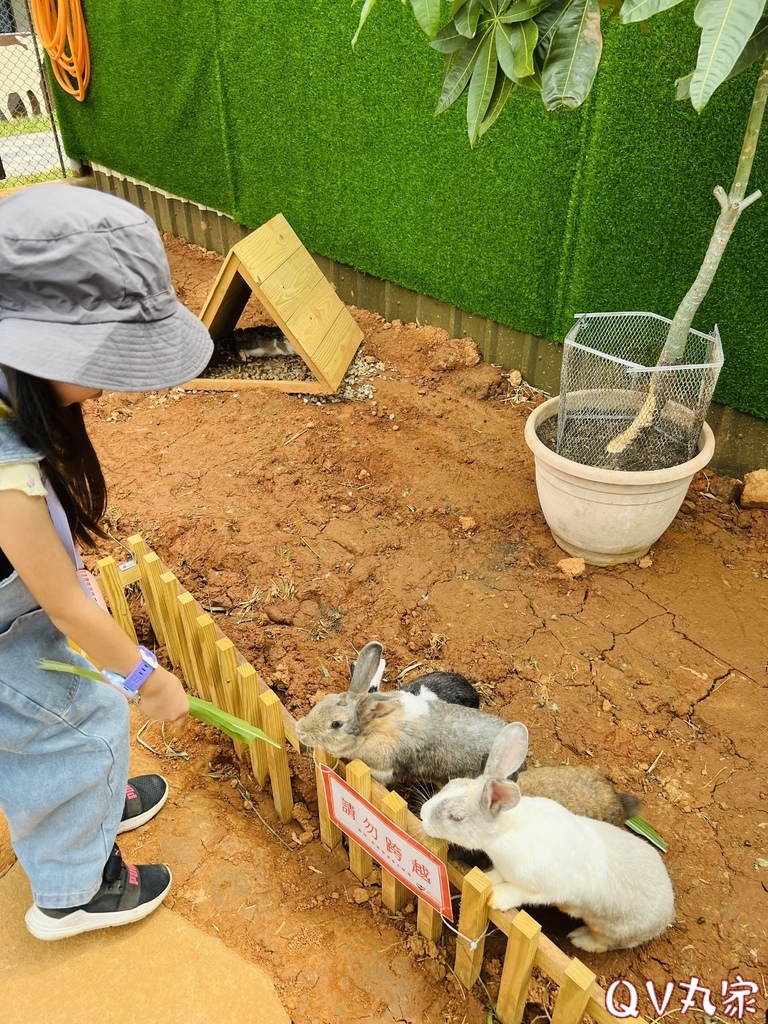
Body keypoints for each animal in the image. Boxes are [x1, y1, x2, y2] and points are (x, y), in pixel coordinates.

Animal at [417, 720, 675, 950]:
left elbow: (523, 893)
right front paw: (487, 878)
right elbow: (496, 875)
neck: (504, 833)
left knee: (604, 944)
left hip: (610, 929)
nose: (423, 814)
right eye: (450, 784)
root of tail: (669, 910)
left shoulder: (548, 888)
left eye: (456, 817)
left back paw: (580, 939)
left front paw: (498, 897)